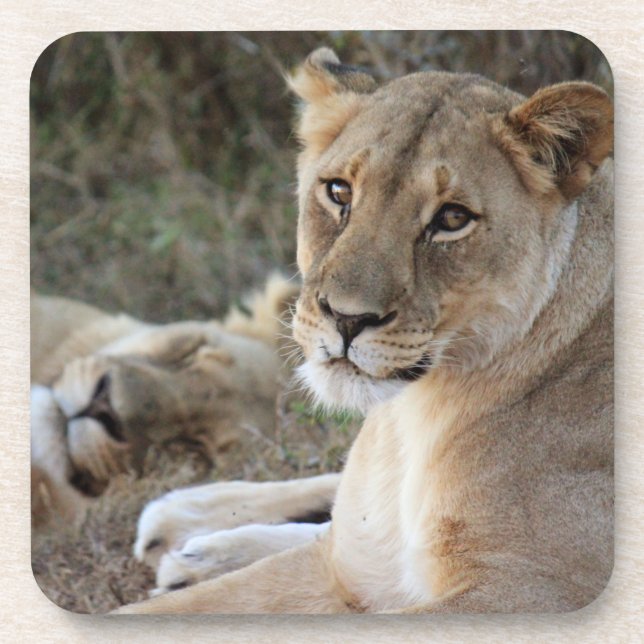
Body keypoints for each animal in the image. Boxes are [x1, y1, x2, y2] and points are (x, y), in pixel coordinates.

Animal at [116, 47, 613, 613]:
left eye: (452, 218)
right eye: (339, 192)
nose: (347, 318)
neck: (417, 419)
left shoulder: (531, 592)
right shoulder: (350, 568)